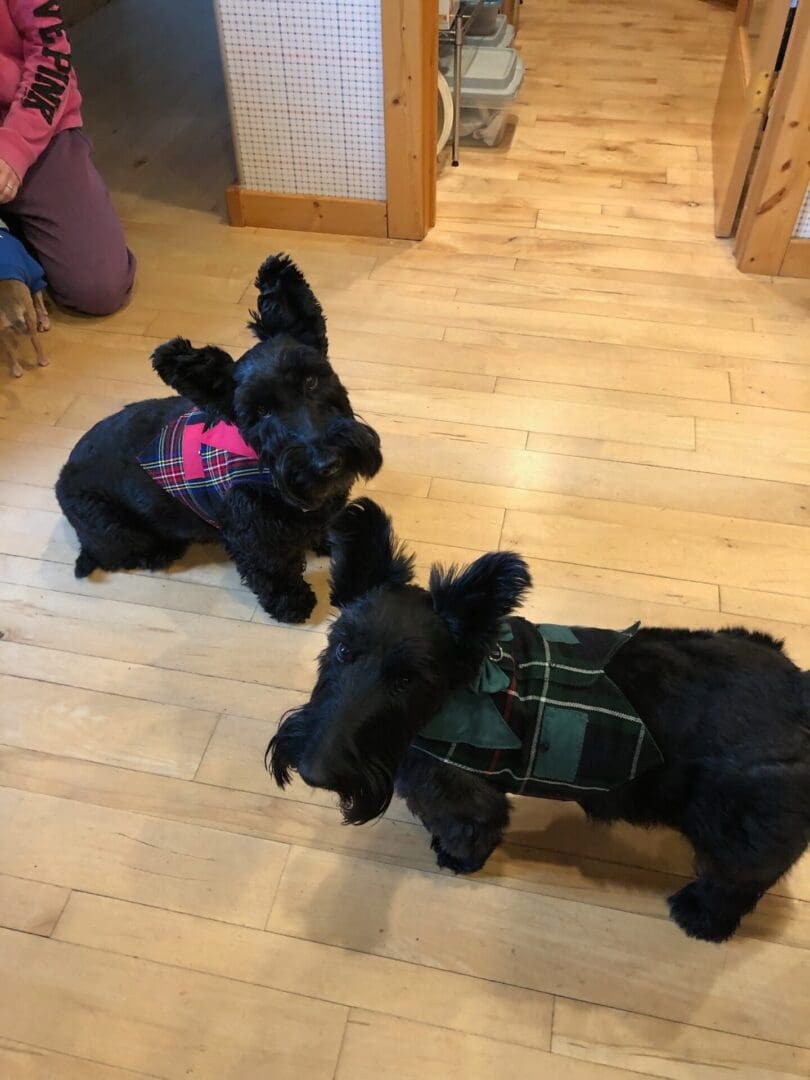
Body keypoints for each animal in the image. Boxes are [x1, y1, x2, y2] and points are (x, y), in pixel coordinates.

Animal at [270, 501, 810, 941]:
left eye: (406, 680)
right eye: (342, 649)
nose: (313, 771)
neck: (456, 694)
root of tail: (799, 692)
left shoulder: (464, 797)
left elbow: (470, 829)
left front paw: (457, 858)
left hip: (738, 835)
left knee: (735, 883)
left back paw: (700, 918)